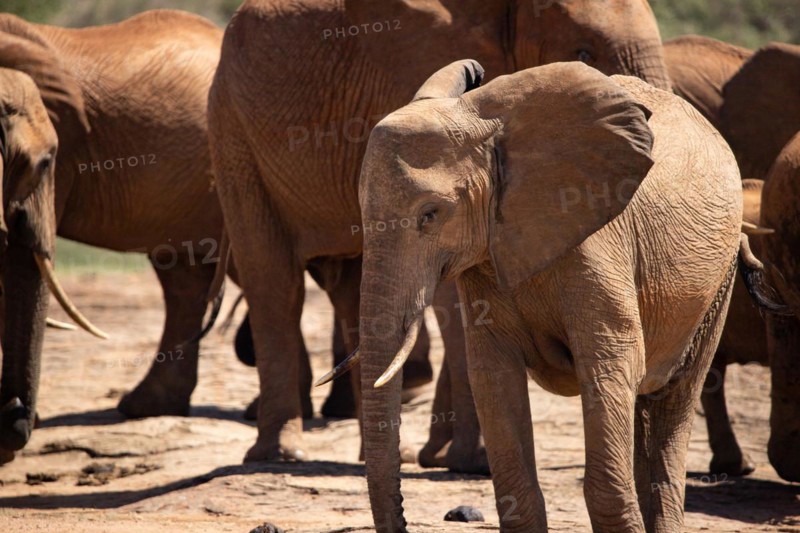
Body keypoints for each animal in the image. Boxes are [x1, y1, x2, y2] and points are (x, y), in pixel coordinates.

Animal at [209, 0, 672, 467]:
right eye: (584, 53)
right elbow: (451, 300)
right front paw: (471, 462)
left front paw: (444, 458)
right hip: (234, 137)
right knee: (274, 282)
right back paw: (282, 454)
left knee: (348, 289)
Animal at [343, 59, 754, 532]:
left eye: (430, 215)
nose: (404, 520)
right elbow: (493, 375)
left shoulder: (598, 242)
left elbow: (611, 363)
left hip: (720, 277)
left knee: (676, 397)